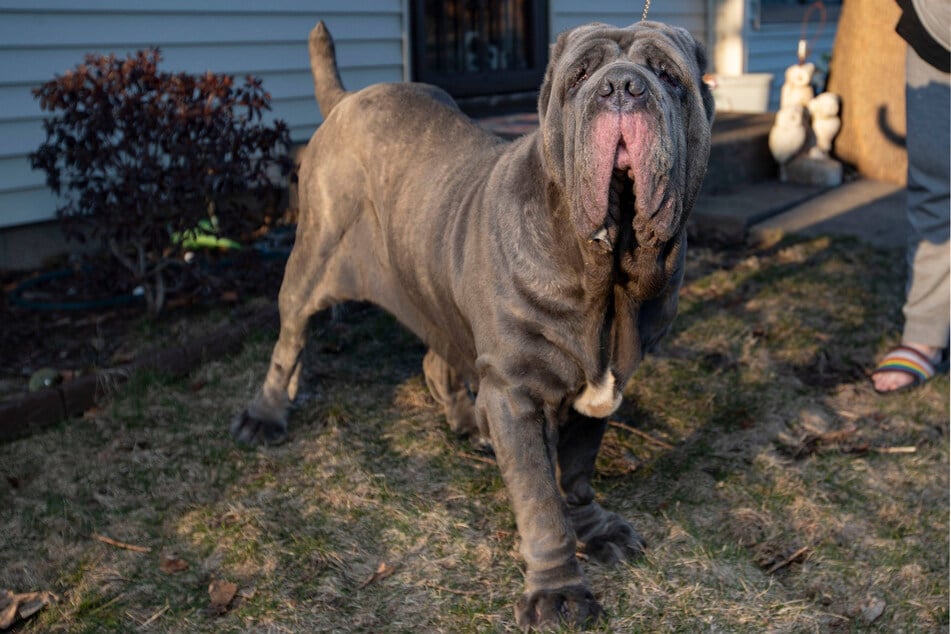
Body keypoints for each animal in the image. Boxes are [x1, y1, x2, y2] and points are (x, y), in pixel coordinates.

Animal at [236, 18, 712, 628]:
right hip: (313, 259)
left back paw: (468, 421)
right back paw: (264, 416)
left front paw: (595, 530)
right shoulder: (515, 389)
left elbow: (576, 475)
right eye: (580, 77)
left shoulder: (603, 388)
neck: (606, 281)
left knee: (437, 357)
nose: (623, 88)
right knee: (290, 340)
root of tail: (346, 99)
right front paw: (557, 591)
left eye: (669, 76)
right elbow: (541, 502)